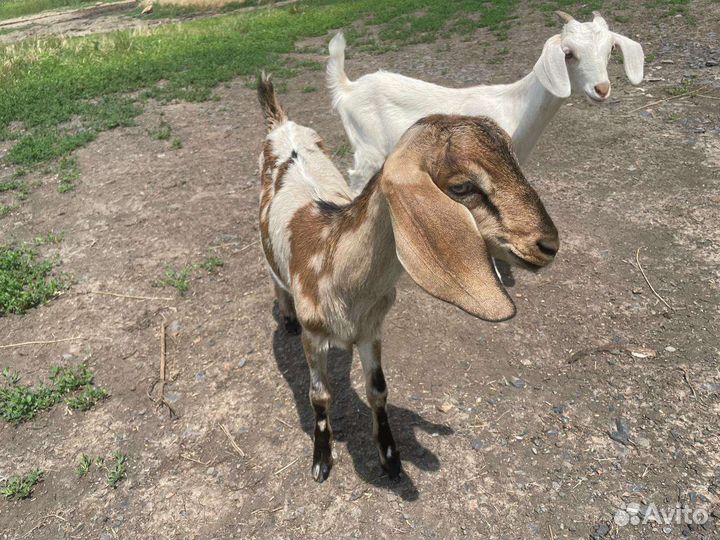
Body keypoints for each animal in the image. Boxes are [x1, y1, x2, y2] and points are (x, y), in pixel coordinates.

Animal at [257, 73, 559, 483]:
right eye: (462, 186)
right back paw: (285, 316)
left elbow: (379, 390)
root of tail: (281, 123)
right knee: (274, 275)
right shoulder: (313, 336)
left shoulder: (372, 328)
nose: (549, 244)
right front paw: (321, 460)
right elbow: (319, 395)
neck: (330, 257)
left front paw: (390, 458)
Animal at [327, 10, 645, 191]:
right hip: (367, 147)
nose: (601, 88)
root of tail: (348, 88)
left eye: (610, 49)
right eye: (568, 53)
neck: (517, 107)